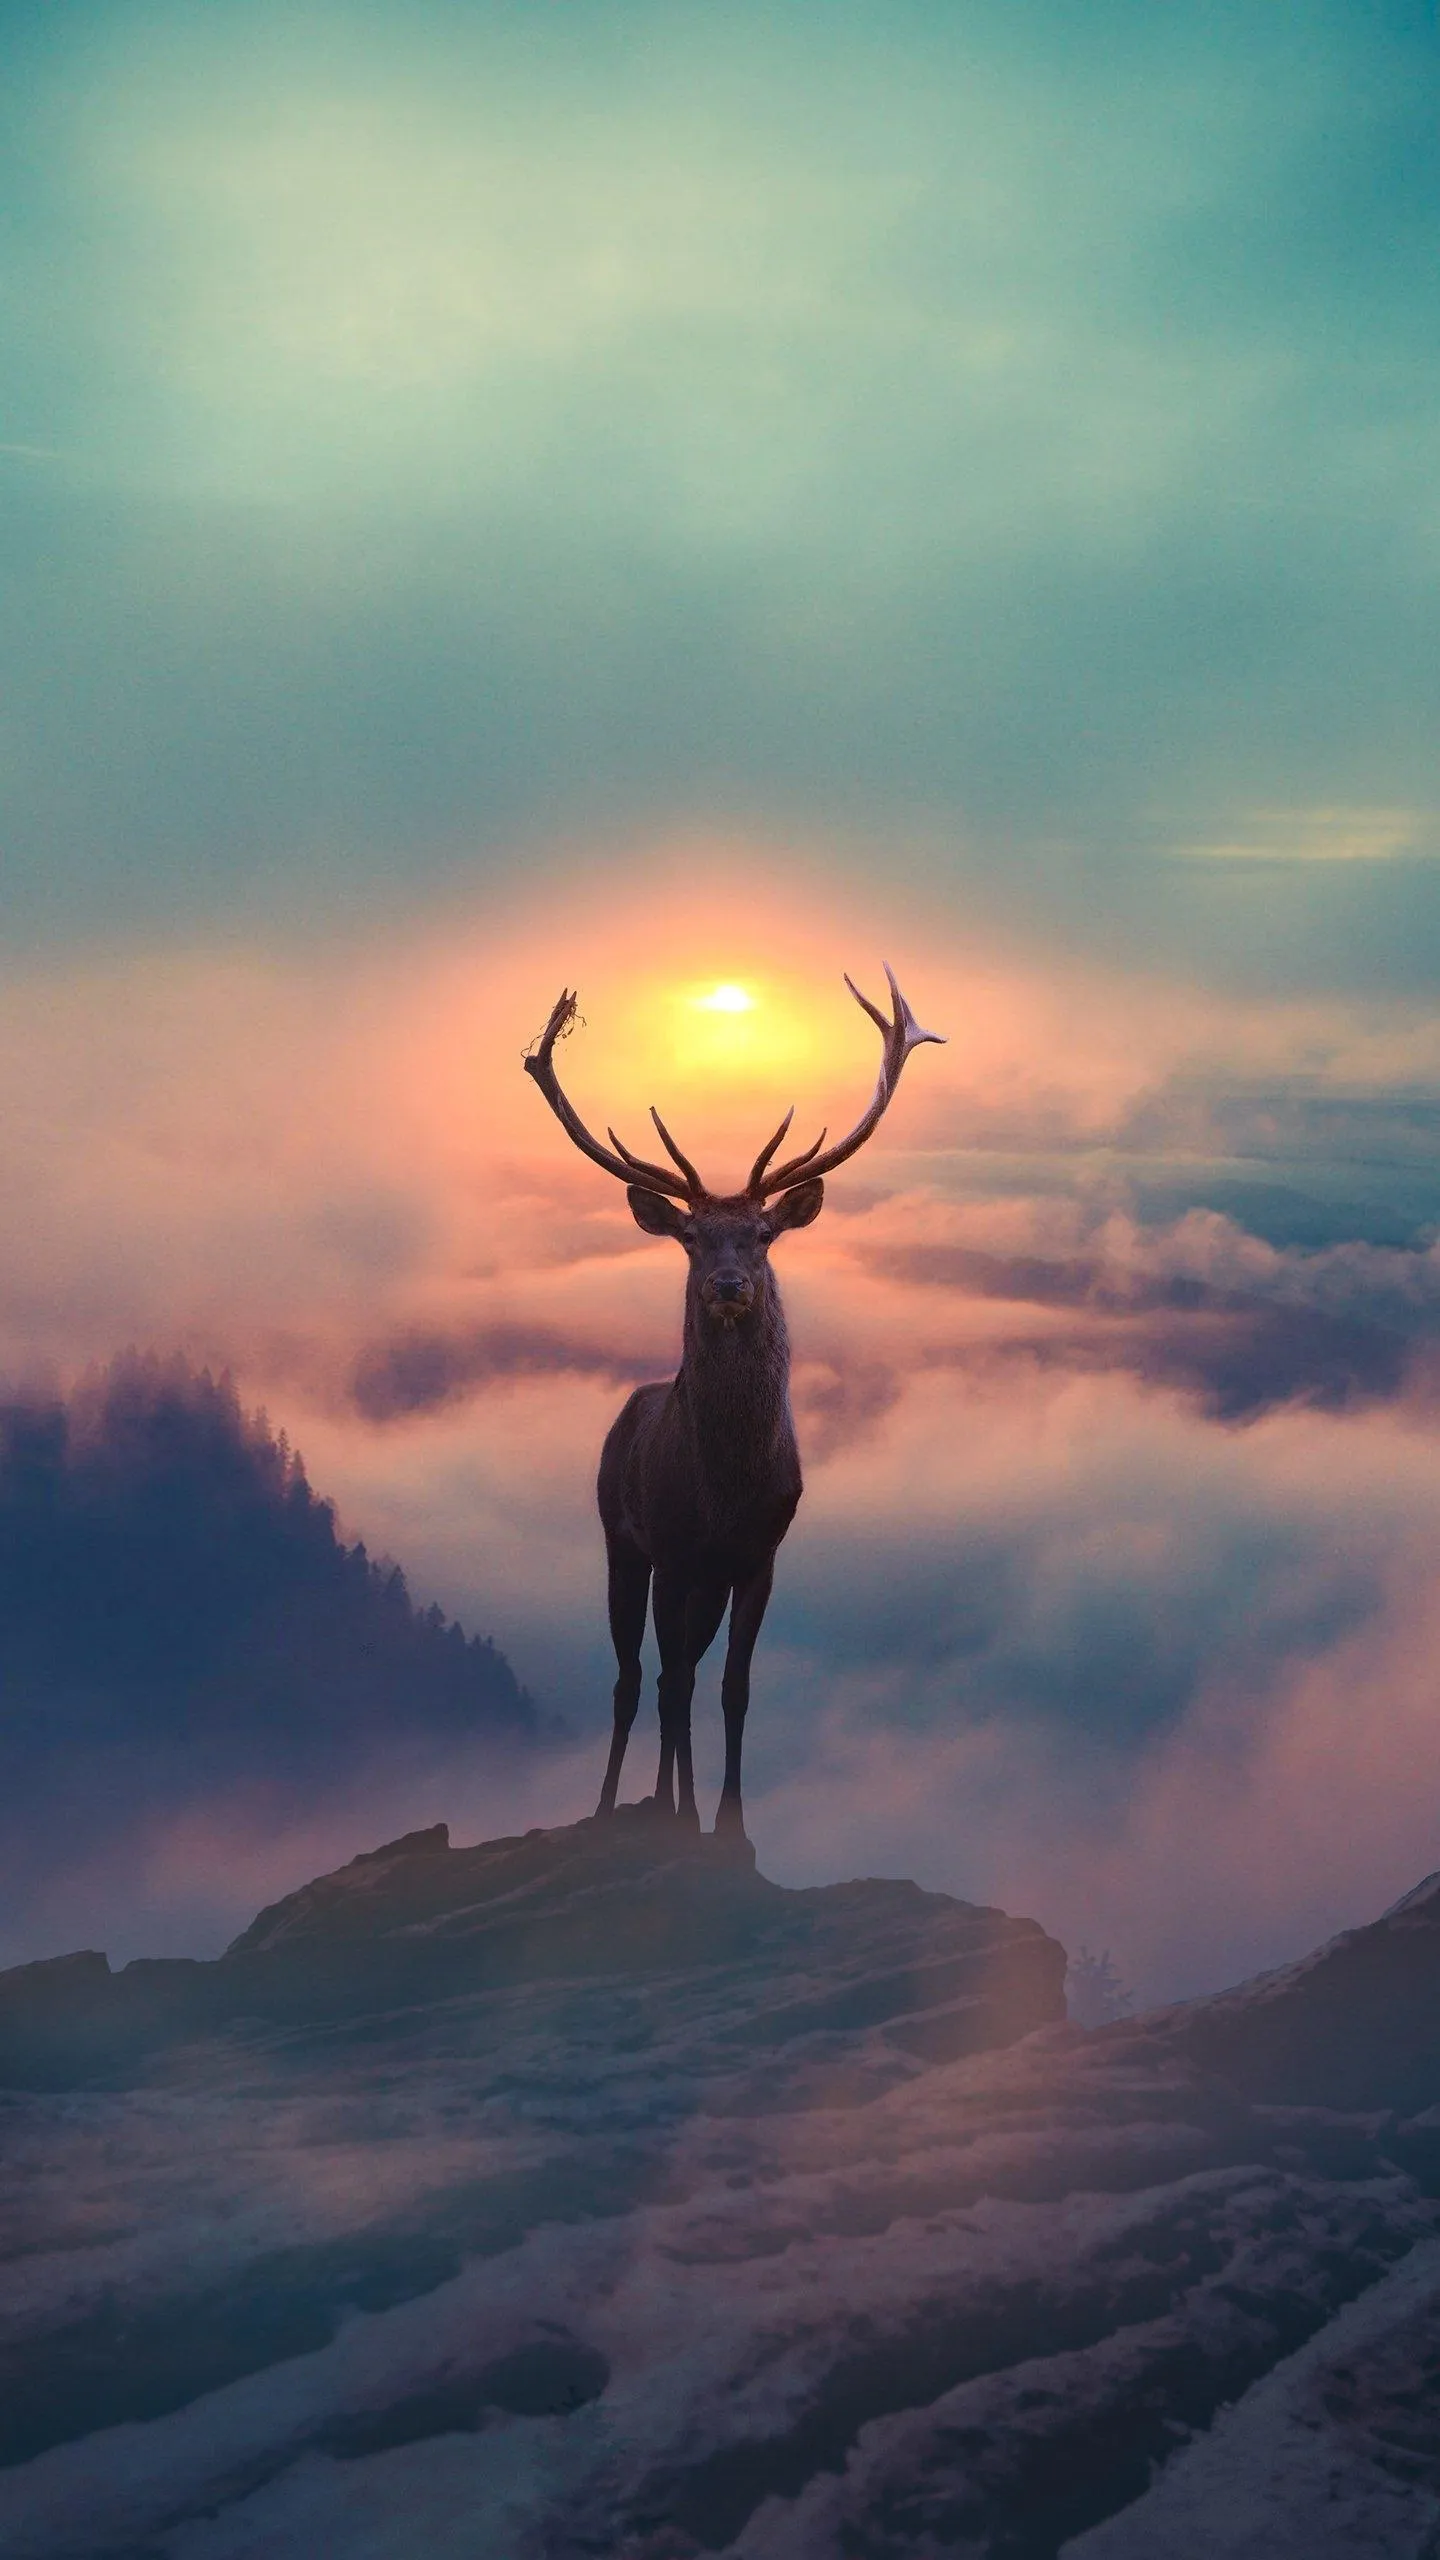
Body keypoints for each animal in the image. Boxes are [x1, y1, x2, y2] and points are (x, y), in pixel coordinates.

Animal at [524, 966, 943, 1838]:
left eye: (762, 1235)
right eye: (691, 1239)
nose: (727, 1286)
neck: (727, 1487)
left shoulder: (758, 1556)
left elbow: (734, 1689)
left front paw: (729, 1821)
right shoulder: (677, 1550)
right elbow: (676, 1684)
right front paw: (683, 1816)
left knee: (669, 1677)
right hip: (621, 1542)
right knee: (633, 1679)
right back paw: (619, 1802)